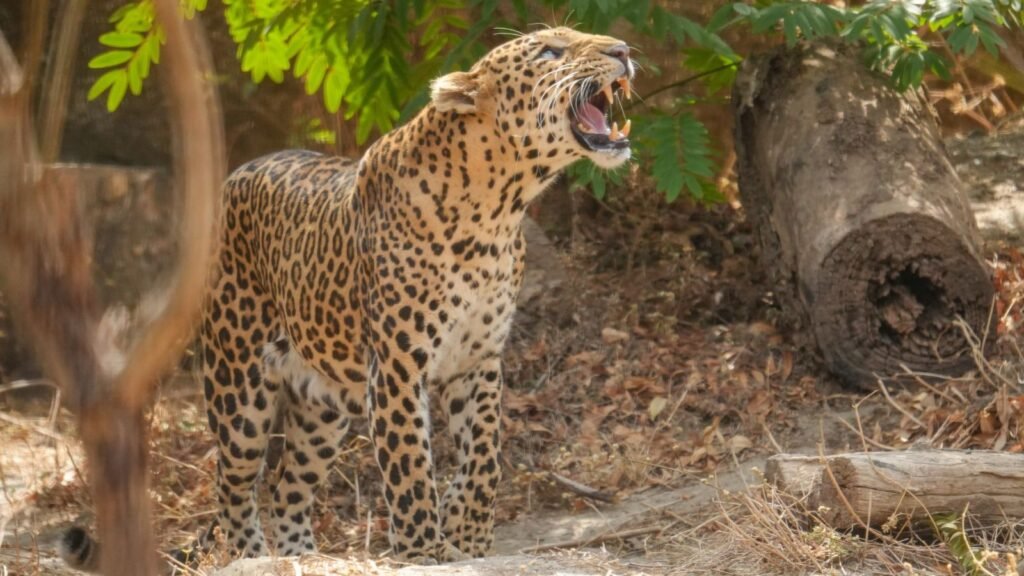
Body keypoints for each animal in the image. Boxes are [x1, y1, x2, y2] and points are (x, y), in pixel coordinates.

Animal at [61, 26, 635, 569]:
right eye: (550, 52)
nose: (624, 50)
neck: (497, 210)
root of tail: (234, 176)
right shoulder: (399, 366)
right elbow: (410, 464)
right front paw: (422, 550)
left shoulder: (478, 359)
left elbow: (485, 455)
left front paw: (467, 532)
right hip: (238, 386)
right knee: (234, 485)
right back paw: (253, 556)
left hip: (324, 409)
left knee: (286, 488)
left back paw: (303, 556)